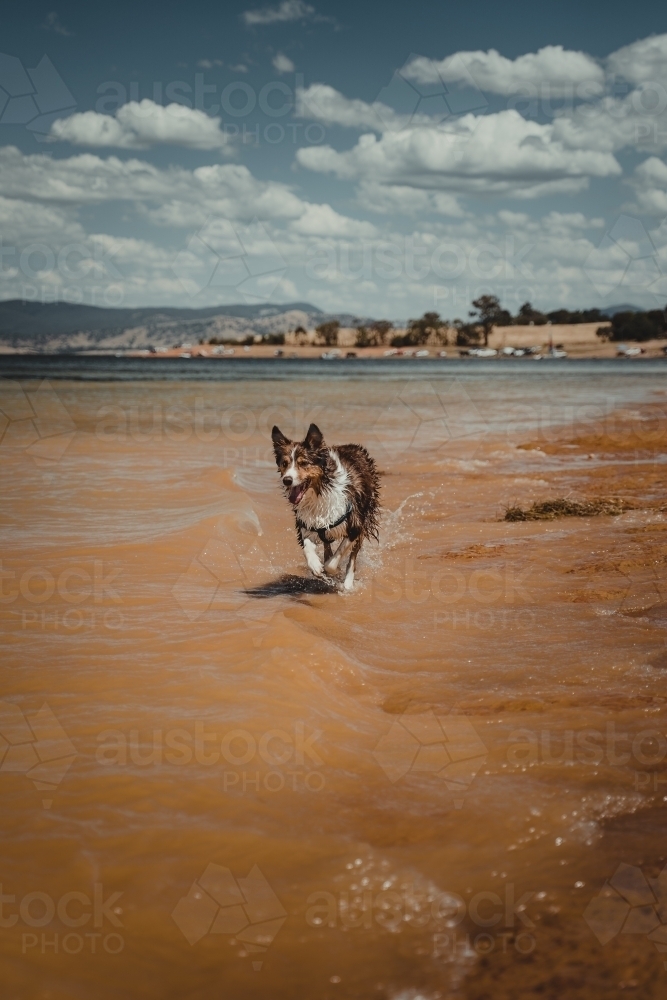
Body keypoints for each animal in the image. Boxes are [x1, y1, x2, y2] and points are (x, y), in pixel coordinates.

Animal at [272, 424, 380, 592]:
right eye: (284, 463)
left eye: (303, 463)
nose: (287, 480)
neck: (319, 493)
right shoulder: (307, 523)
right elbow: (307, 547)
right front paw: (315, 565)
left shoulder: (355, 525)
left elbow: (336, 558)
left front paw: (333, 571)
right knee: (327, 546)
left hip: (365, 514)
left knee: (352, 557)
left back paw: (347, 584)